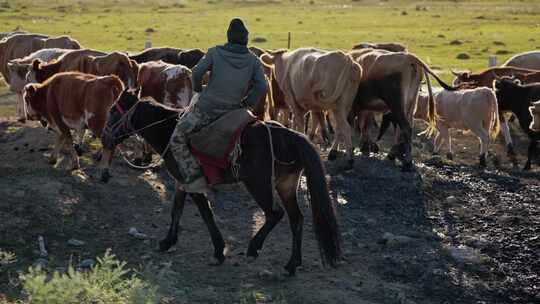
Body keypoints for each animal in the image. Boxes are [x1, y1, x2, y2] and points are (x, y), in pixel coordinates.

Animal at [101, 89, 342, 276]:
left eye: (112, 111)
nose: (104, 138)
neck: (168, 130)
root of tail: (291, 136)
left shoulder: (192, 182)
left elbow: (206, 213)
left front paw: (218, 251)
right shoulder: (181, 182)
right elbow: (176, 210)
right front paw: (168, 241)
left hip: (258, 184)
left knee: (275, 213)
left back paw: (254, 248)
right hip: (286, 185)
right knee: (296, 219)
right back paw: (292, 265)